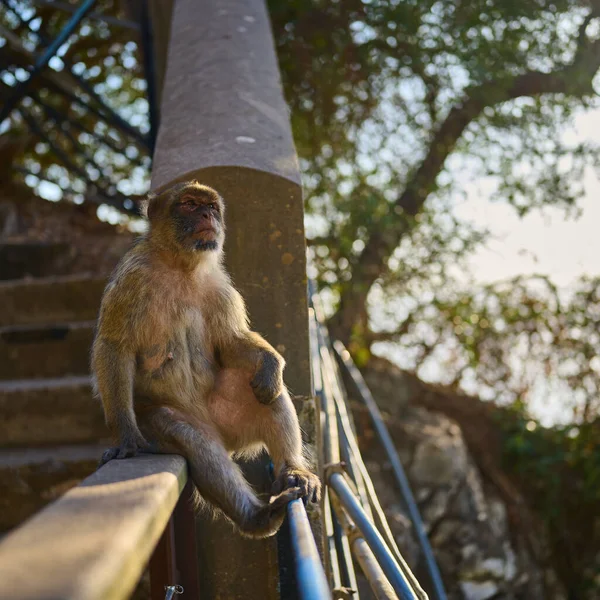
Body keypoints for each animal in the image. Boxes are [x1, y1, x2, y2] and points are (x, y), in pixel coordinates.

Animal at [91, 180, 322, 536]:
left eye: (211, 207)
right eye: (188, 204)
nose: (205, 215)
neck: (180, 265)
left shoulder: (221, 287)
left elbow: (229, 343)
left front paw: (272, 363)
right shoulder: (132, 277)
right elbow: (114, 346)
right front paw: (126, 437)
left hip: (230, 418)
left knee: (264, 391)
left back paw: (293, 472)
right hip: (182, 420)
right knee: (189, 436)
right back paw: (256, 517)